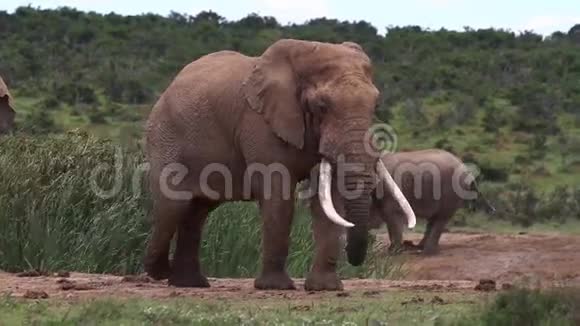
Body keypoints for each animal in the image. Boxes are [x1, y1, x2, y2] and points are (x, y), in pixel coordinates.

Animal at [145, 38, 416, 290]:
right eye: (322, 106)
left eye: (376, 105)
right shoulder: (259, 123)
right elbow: (279, 197)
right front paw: (276, 286)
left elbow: (328, 199)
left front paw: (325, 288)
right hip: (165, 135)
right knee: (175, 204)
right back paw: (167, 274)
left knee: (197, 211)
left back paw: (188, 283)